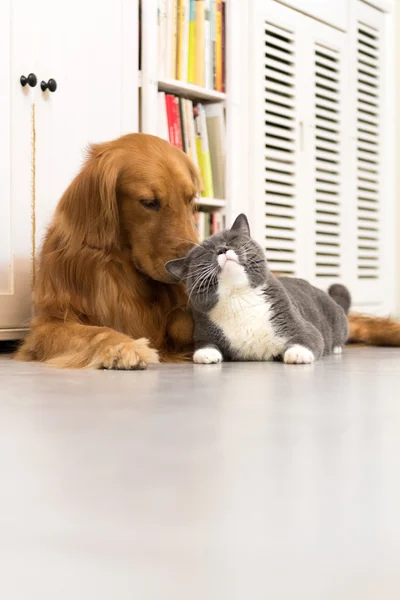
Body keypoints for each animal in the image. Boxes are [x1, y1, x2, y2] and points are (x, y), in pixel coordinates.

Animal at [166, 216, 350, 366]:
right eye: (203, 253)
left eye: (231, 239)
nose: (222, 249)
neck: (238, 296)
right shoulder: (203, 326)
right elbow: (203, 344)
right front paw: (206, 353)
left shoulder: (294, 320)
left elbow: (310, 336)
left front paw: (298, 353)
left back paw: (337, 348)